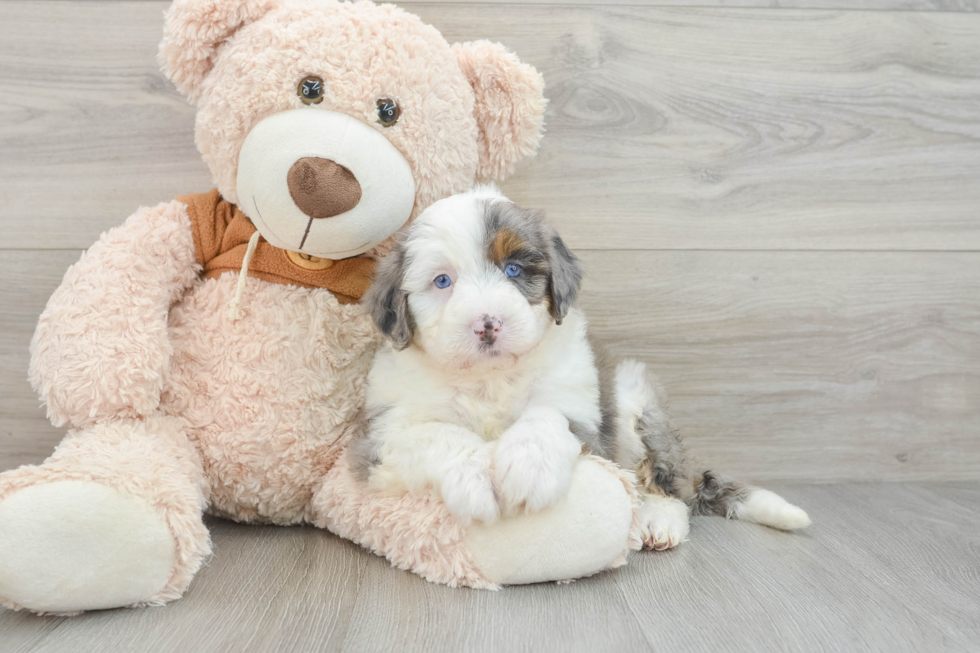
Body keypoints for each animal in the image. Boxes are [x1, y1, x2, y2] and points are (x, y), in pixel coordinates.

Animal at [356, 186, 808, 548]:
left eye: (514, 269)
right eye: (442, 281)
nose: (488, 324)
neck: (489, 378)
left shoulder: (584, 413)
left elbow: (548, 415)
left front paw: (529, 467)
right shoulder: (378, 440)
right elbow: (438, 434)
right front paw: (477, 477)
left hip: (634, 399)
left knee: (670, 487)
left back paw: (658, 519)